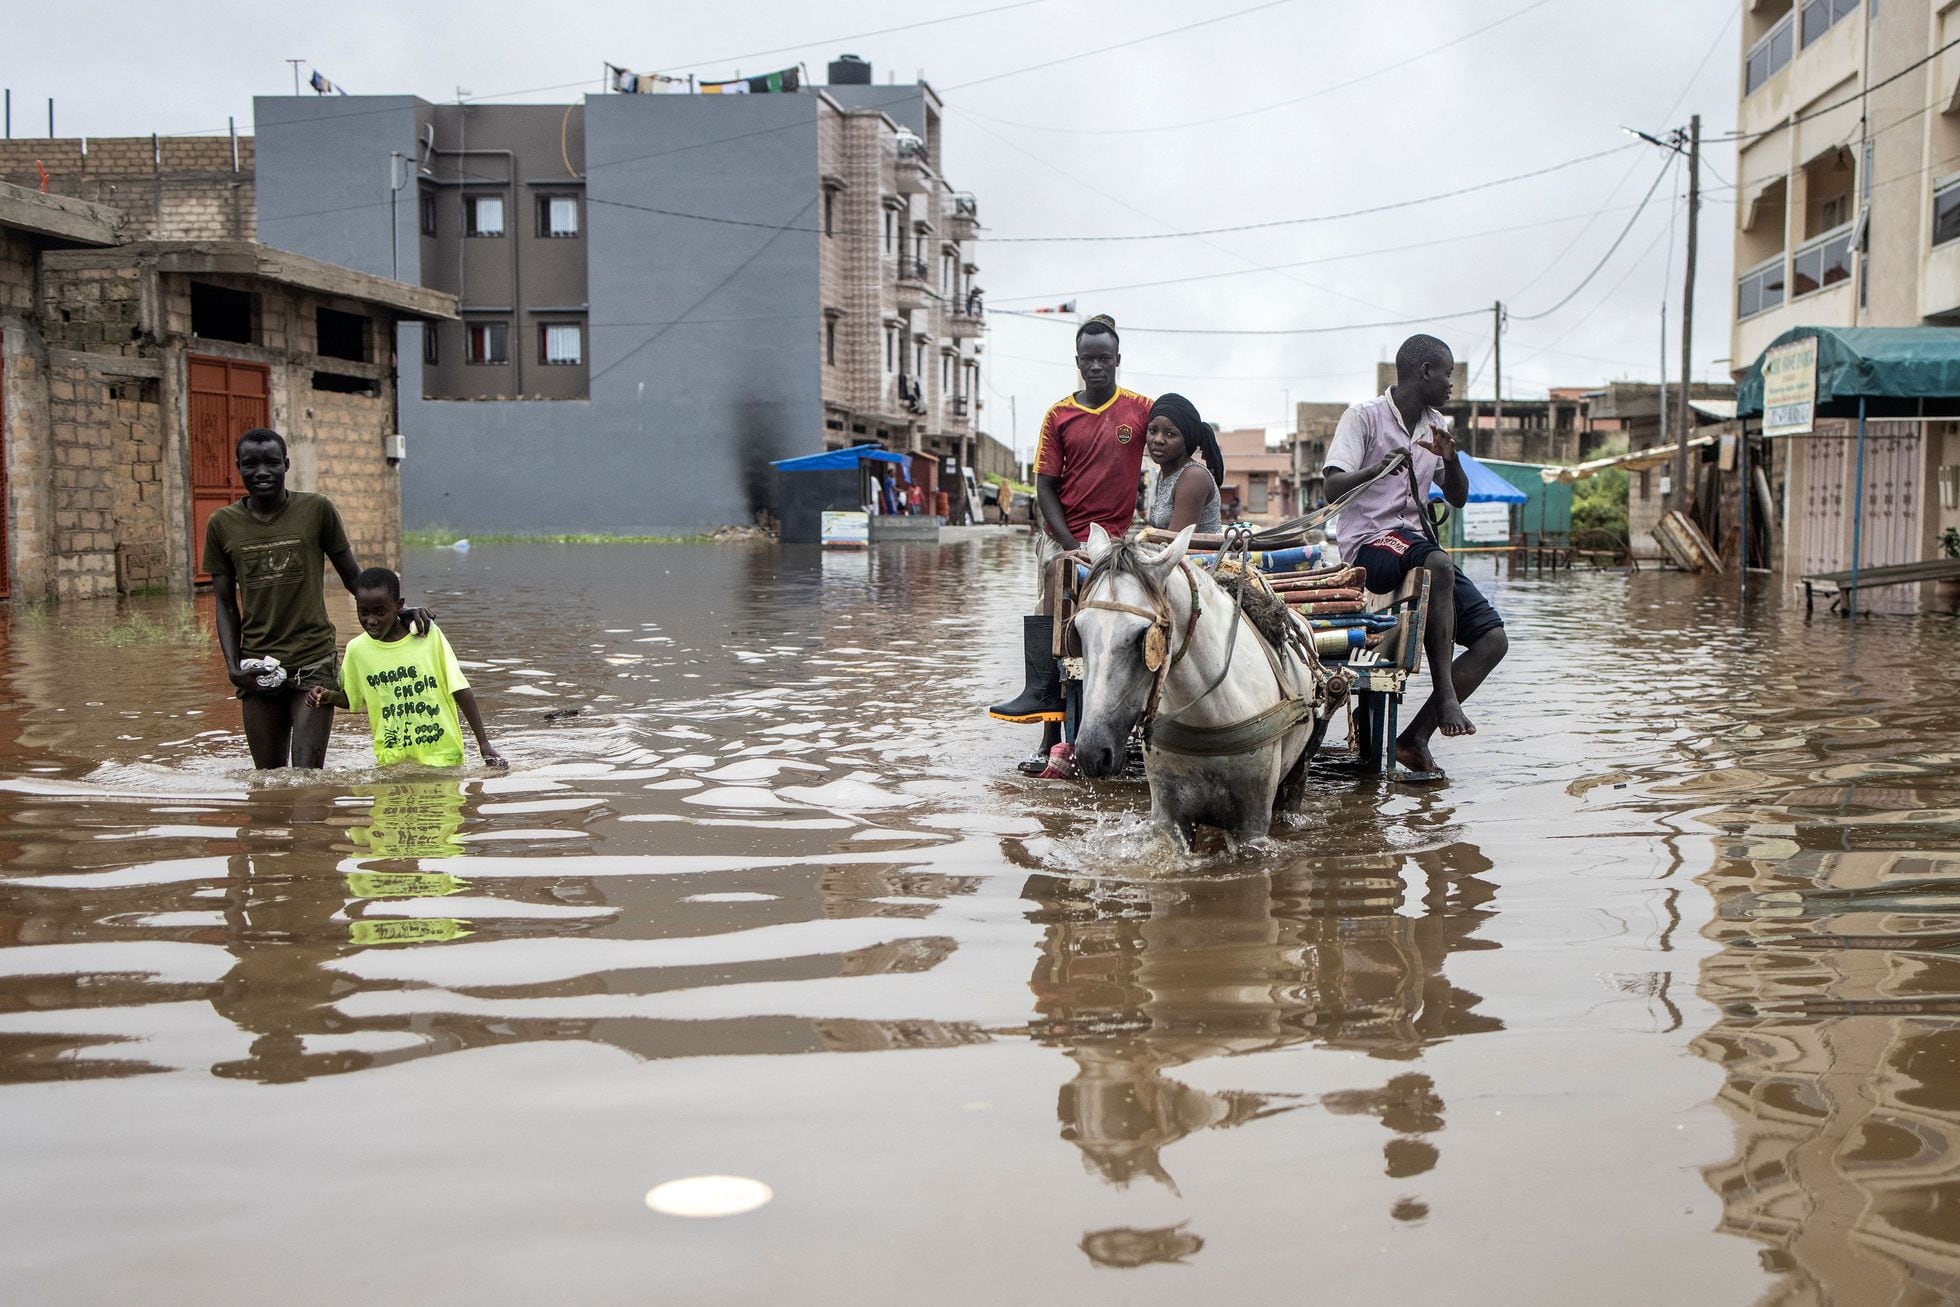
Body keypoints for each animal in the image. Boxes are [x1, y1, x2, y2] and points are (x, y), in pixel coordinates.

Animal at [1074, 521, 1332, 850]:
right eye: (1078, 630)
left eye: (1144, 636)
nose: (1091, 752)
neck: (1210, 715)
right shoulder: (1169, 819)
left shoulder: (1251, 827)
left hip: (1299, 770)